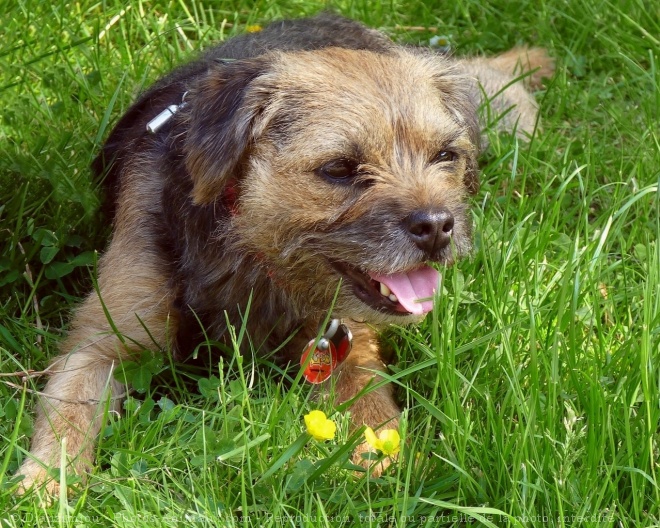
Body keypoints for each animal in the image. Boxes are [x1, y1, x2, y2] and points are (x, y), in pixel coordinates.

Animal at [16, 14, 552, 498]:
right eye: (339, 169)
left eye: (445, 156)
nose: (438, 226)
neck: (252, 254)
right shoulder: (101, 344)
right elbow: (69, 413)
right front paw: (43, 485)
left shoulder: (347, 345)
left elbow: (372, 411)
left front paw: (385, 463)